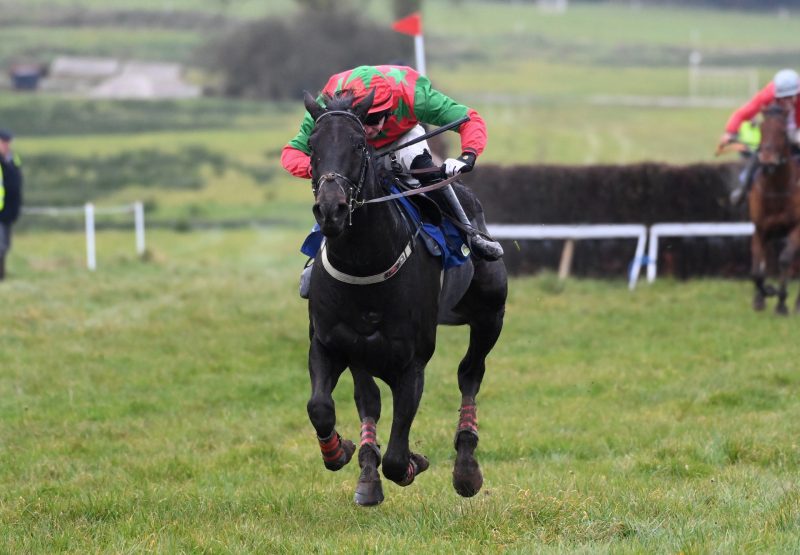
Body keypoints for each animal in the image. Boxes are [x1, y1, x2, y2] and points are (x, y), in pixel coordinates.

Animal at [300, 89, 506, 506]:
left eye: (358, 145)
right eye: (312, 146)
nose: (331, 209)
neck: (365, 264)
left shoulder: (412, 362)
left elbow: (397, 457)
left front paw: (414, 461)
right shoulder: (330, 344)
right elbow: (321, 407)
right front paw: (341, 451)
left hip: (490, 315)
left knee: (470, 374)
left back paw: (466, 468)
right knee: (369, 400)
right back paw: (366, 470)